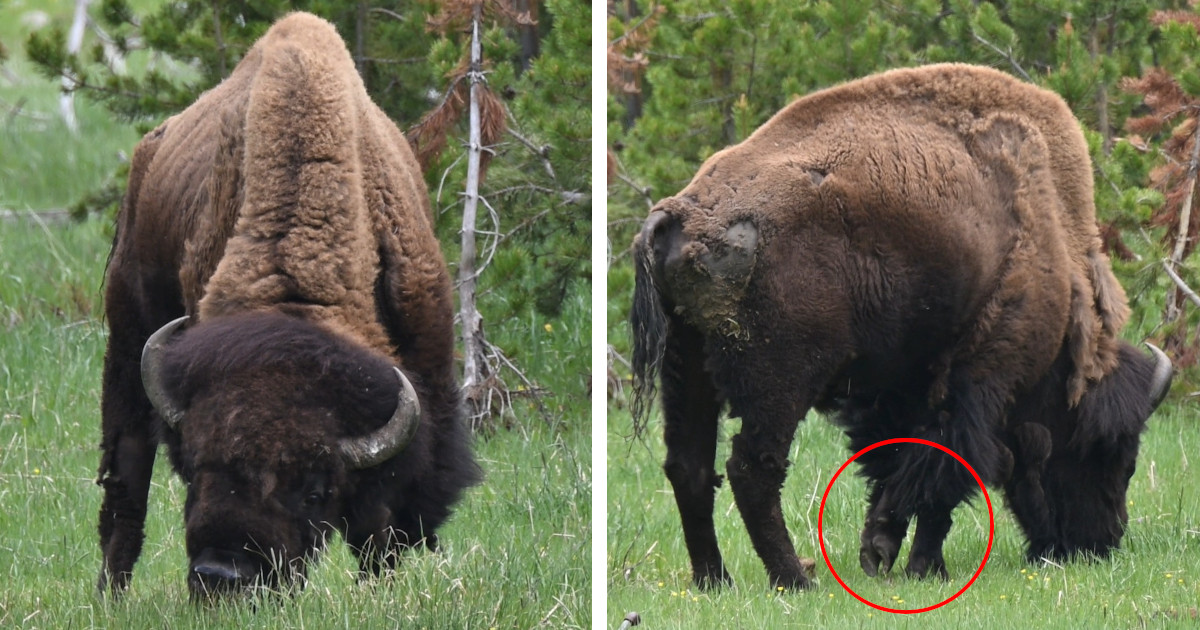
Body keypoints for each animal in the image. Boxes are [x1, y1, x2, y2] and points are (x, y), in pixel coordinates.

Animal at [96, 12, 479, 596]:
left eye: (313, 489)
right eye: (198, 468)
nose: (222, 574)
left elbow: (380, 522)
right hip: (127, 335)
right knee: (126, 478)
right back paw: (110, 597)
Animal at [631, 63, 1172, 590]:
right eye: (1109, 453)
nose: (1101, 543)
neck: (1049, 232)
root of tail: (682, 212)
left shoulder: (897, 387)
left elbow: (897, 466)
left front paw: (879, 550)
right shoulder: (978, 381)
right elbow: (950, 470)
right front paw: (923, 566)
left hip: (686, 365)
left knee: (690, 466)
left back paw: (714, 580)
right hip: (778, 381)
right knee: (752, 470)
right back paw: (795, 580)